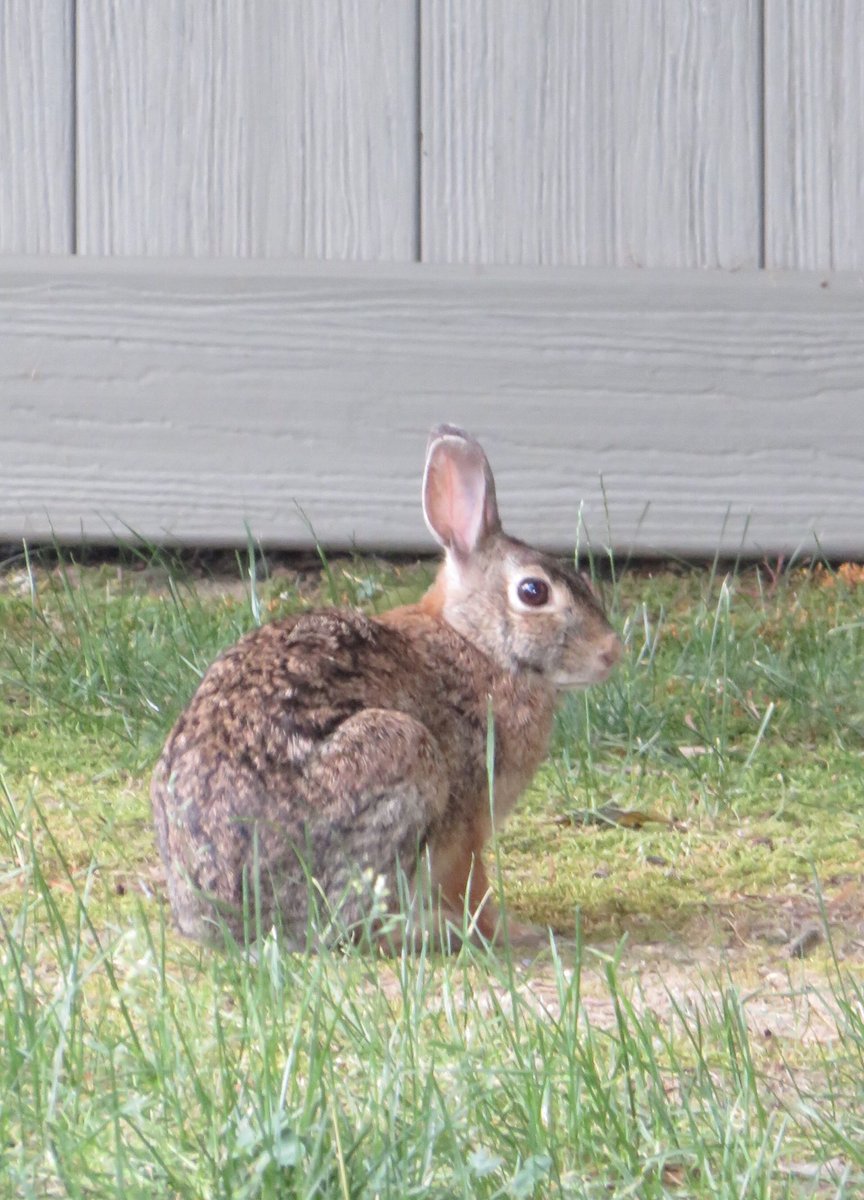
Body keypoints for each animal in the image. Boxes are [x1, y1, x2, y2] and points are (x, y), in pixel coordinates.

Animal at [151, 426, 621, 949]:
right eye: (533, 592)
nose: (611, 652)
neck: (475, 641)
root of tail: (230, 916)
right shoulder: (468, 821)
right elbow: (473, 887)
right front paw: (513, 933)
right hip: (397, 754)